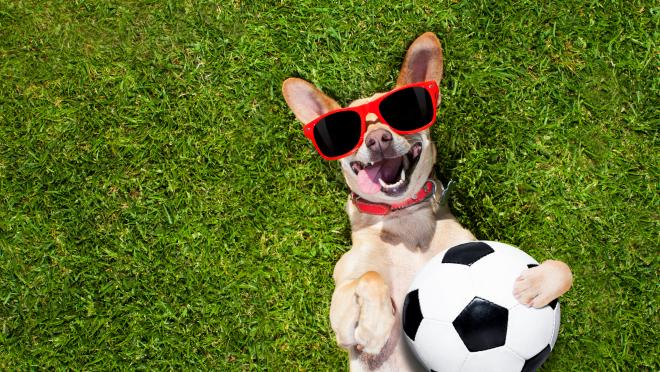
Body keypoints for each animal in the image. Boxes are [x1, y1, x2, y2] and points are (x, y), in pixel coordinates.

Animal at [282, 32, 572, 372]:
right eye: (349, 132)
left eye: (401, 114)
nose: (378, 139)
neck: (404, 217)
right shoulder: (341, 315)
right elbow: (370, 277)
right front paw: (376, 327)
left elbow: (563, 268)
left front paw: (535, 284)